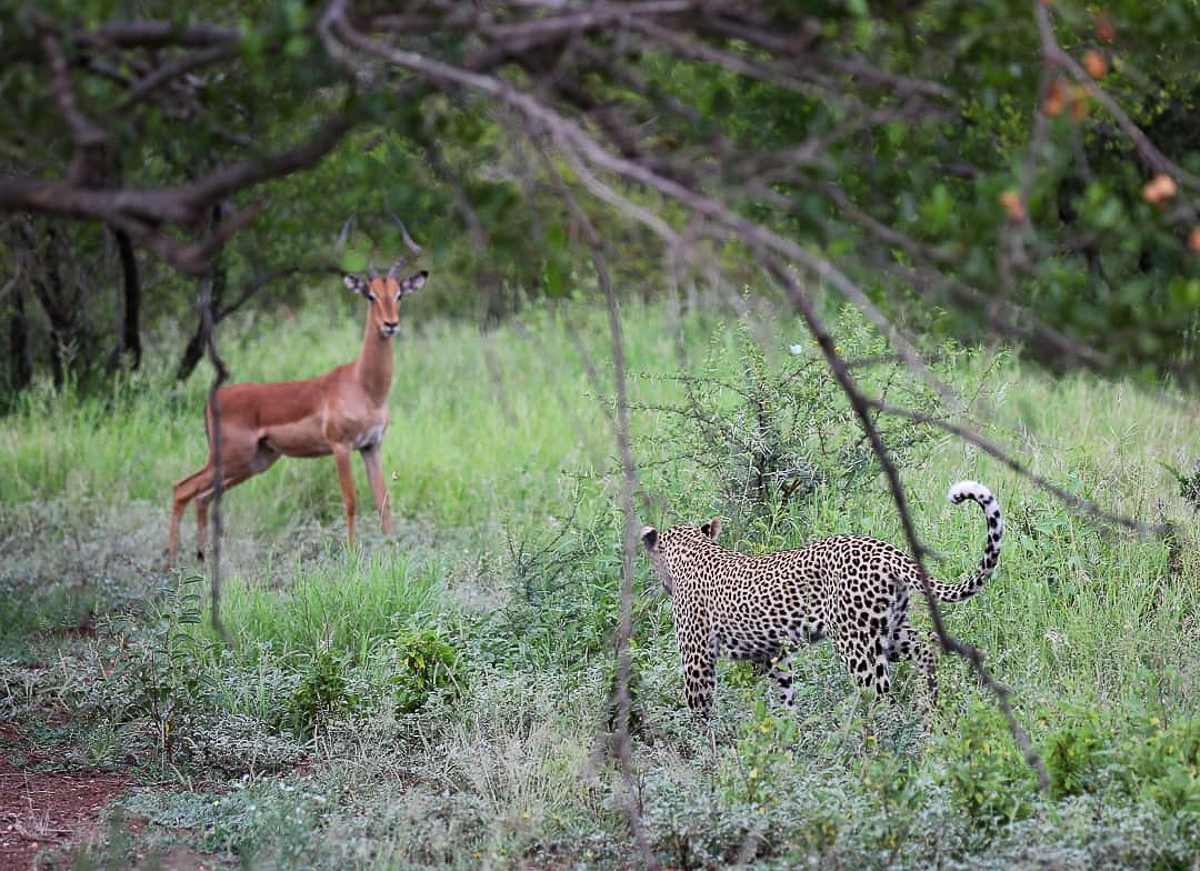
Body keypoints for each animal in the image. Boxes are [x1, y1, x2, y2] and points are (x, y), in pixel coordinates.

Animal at [166, 225, 427, 565]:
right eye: (371, 295)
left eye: (399, 294)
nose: (390, 325)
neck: (365, 387)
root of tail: (213, 400)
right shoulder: (341, 446)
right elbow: (351, 501)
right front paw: (352, 556)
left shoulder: (371, 447)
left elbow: (383, 501)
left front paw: (393, 552)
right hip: (233, 458)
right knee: (182, 488)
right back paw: (170, 564)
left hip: (255, 461)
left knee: (202, 496)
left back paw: (201, 558)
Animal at [639, 480, 1003, 718]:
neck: (693, 552)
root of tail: (889, 550)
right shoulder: (775, 654)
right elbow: (783, 696)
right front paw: (784, 741)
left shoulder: (697, 657)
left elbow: (697, 711)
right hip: (889, 632)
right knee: (928, 645)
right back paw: (929, 711)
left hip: (857, 643)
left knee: (878, 694)